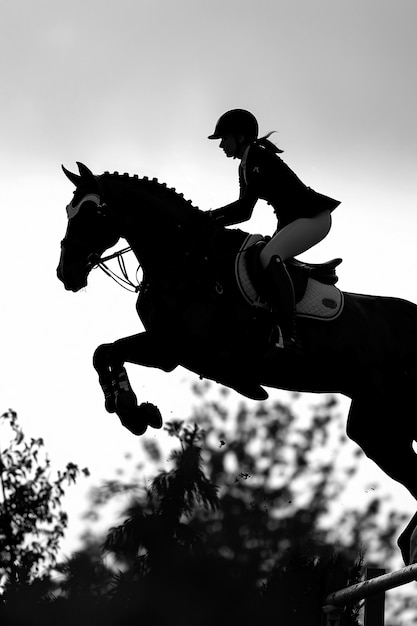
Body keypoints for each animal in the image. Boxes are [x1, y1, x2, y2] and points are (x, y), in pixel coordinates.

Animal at [57, 162, 416, 512]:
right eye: (68, 211)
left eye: (90, 211)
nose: (65, 273)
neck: (186, 259)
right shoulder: (165, 347)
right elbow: (103, 352)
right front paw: (128, 408)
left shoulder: (178, 349)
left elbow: (110, 352)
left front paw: (132, 410)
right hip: (375, 425)